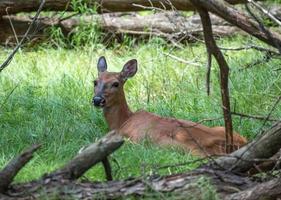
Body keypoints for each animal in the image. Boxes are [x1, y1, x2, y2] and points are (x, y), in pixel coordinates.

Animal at [92, 56, 245, 156]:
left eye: (116, 83)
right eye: (95, 82)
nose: (97, 100)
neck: (122, 121)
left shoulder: (132, 138)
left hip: (179, 146)